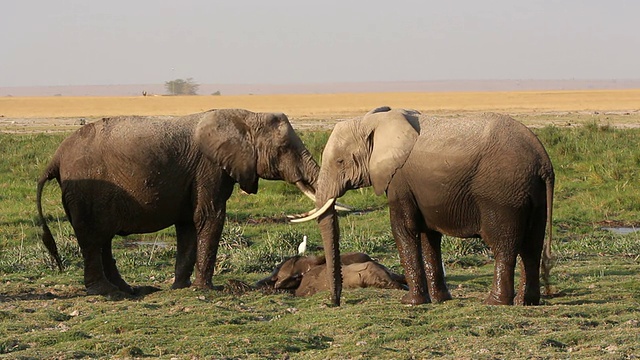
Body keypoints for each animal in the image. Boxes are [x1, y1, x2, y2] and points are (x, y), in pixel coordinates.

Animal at [37, 108, 322, 296]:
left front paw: (181, 287)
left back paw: (126, 290)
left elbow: (188, 224)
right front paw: (206, 289)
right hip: (83, 191)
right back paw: (104, 291)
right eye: (284, 148)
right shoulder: (209, 168)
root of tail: (55, 158)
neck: (245, 118)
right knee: (92, 237)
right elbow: (209, 216)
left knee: (102, 239)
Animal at [292, 107, 552, 306]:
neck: (376, 120)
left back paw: (495, 302)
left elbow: (403, 229)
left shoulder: (399, 180)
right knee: (531, 246)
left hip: (503, 195)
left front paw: (410, 302)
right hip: (533, 195)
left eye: (340, 161)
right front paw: (440, 300)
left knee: (504, 247)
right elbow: (429, 236)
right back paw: (526, 302)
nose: (333, 303)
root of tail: (544, 162)